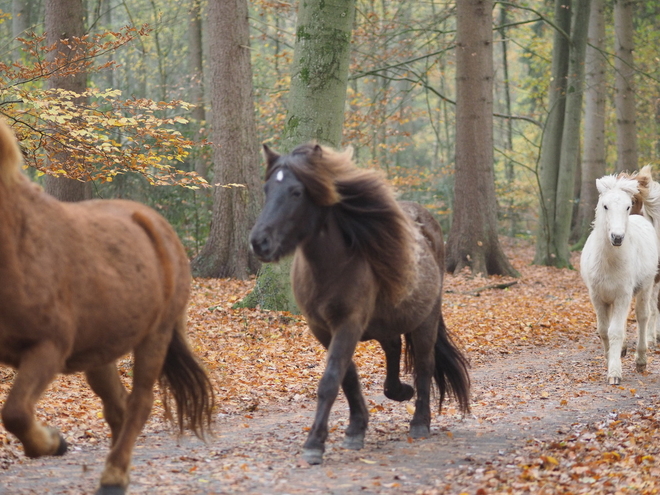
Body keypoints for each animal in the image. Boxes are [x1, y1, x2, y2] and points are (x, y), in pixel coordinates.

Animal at [0, 121, 214, 495]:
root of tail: (157, 224)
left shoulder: (48, 348)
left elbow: (15, 413)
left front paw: (54, 442)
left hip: (155, 338)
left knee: (139, 403)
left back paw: (113, 475)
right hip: (100, 353)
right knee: (119, 407)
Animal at [248, 142, 470, 464]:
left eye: (296, 192)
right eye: (267, 189)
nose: (259, 242)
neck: (331, 266)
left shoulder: (348, 323)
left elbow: (331, 379)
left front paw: (315, 443)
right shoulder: (323, 329)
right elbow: (347, 377)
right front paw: (356, 428)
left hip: (425, 319)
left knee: (424, 365)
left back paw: (420, 422)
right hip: (386, 320)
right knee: (393, 348)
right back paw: (398, 391)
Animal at [580, 174, 656, 388]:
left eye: (627, 206)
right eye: (605, 206)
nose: (617, 237)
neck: (608, 262)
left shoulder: (623, 295)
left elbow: (615, 331)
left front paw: (614, 373)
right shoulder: (597, 297)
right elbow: (604, 330)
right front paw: (609, 358)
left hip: (646, 286)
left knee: (642, 316)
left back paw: (641, 360)